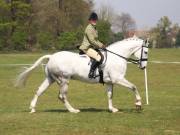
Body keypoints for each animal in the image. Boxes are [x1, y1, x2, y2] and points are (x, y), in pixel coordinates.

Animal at [15, 36, 148, 113]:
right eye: (146, 51)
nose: (143, 67)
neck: (116, 57)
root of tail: (51, 56)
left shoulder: (110, 82)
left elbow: (110, 95)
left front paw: (112, 109)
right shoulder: (118, 79)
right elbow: (134, 87)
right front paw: (138, 104)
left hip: (50, 79)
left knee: (39, 91)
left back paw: (32, 108)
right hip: (64, 80)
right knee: (62, 96)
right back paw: (73, 110)